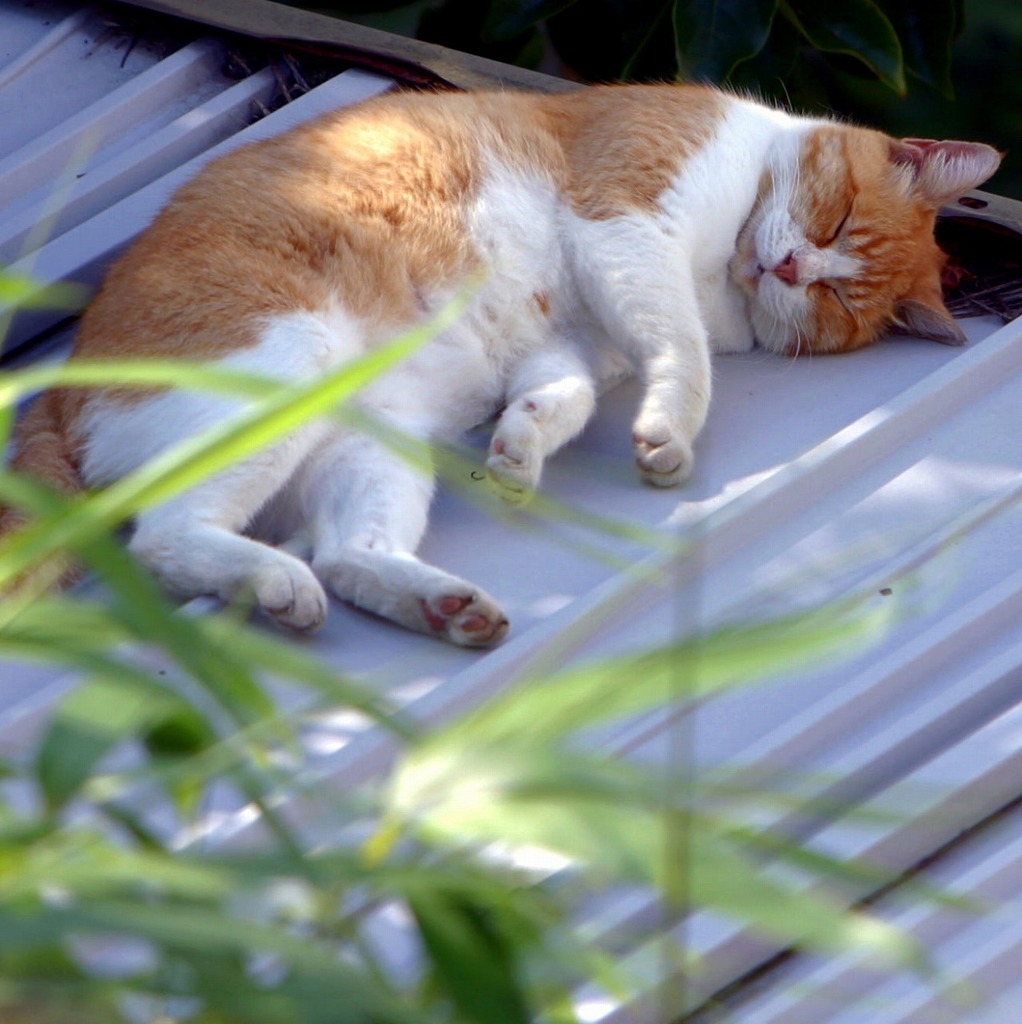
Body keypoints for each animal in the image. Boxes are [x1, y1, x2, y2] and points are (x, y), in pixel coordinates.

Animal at [4, 83, 1003, 643]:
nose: (793, 269)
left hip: (374, 447)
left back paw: (442, 607)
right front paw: (670, 433)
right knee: (166, 534)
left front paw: (521, 447)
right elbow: (682, 351)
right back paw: (275, 583)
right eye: (837, 223)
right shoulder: (622, 220)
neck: (718, 267)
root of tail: (56, 391)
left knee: (347, 553)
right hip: (289, 363)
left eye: (840, 301)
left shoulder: (574, 342)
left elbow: (561, 396)